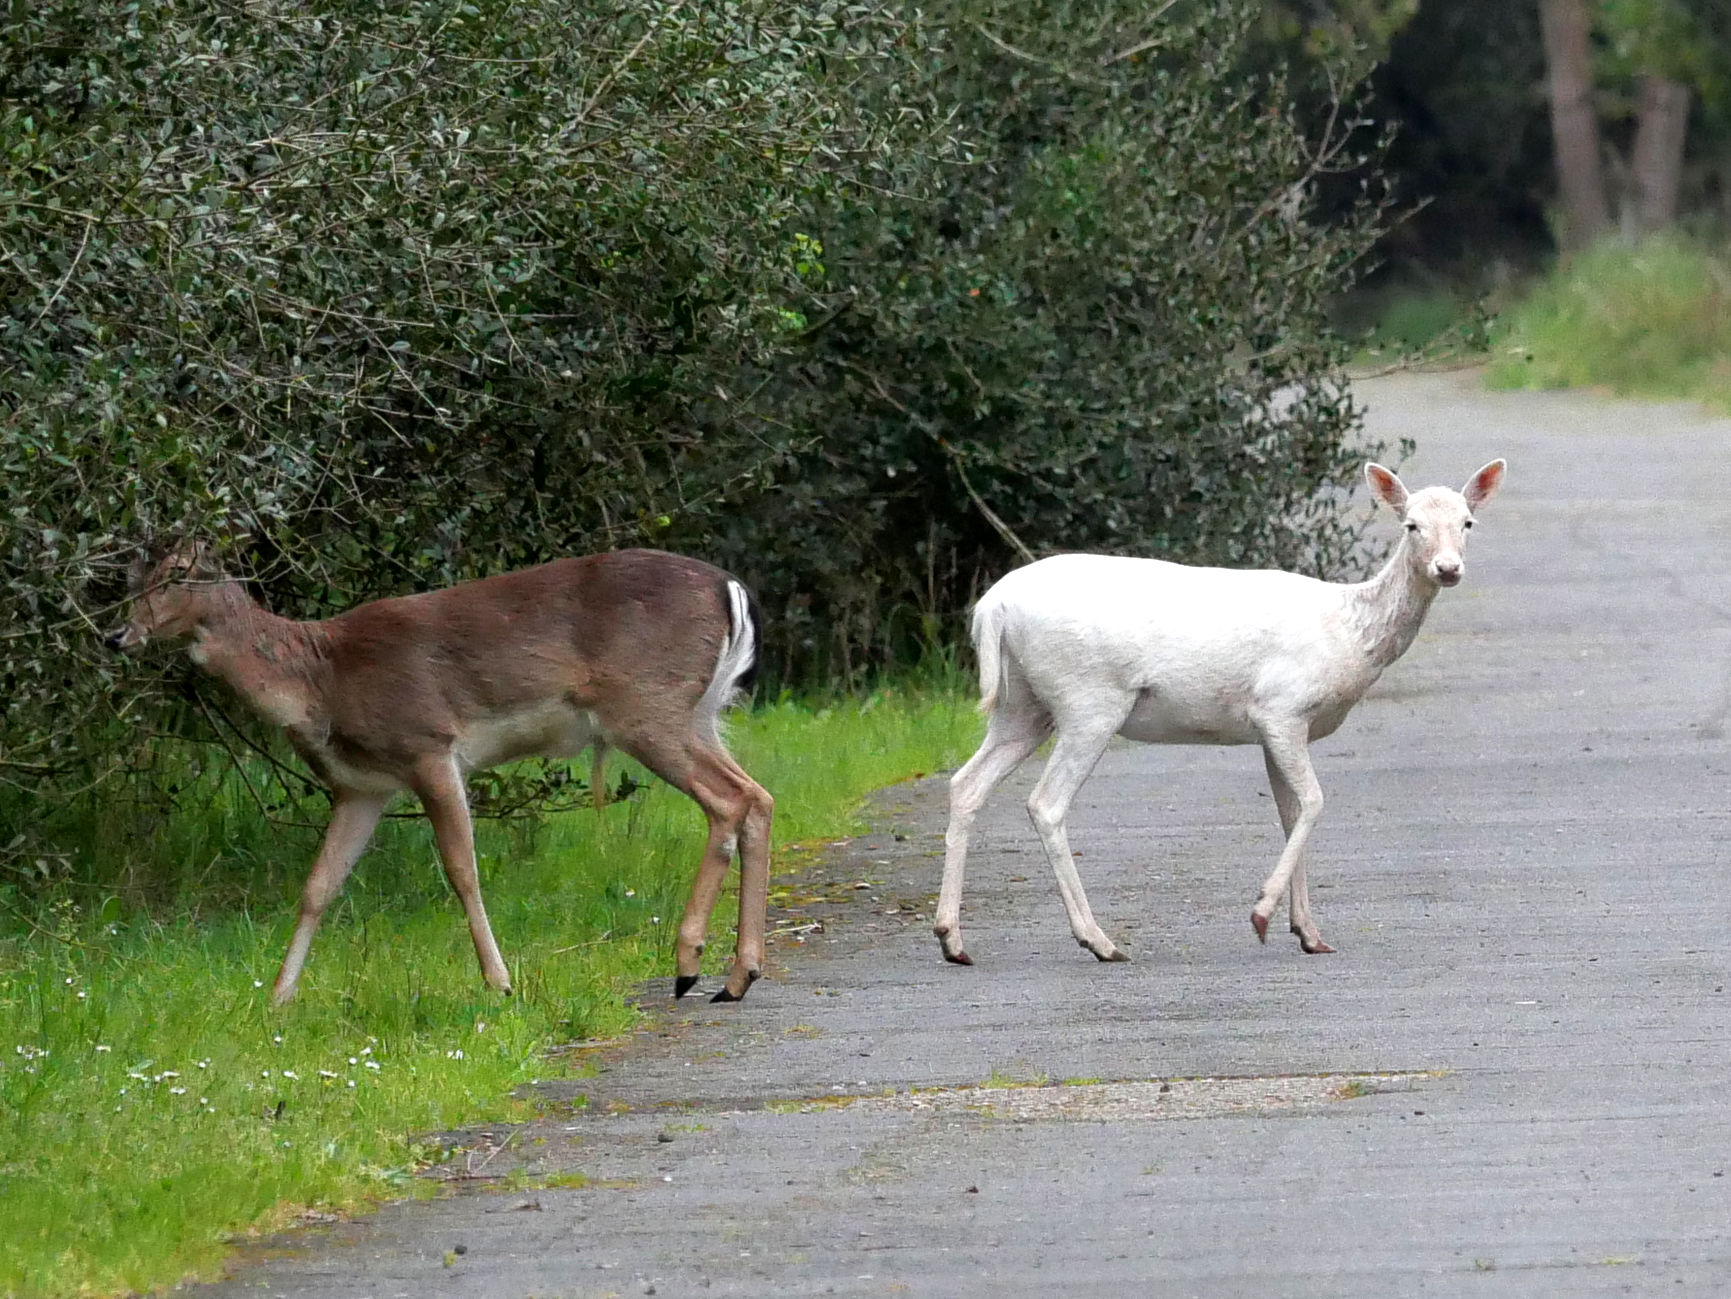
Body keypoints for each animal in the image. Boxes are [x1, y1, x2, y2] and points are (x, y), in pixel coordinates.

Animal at [106, 544, 775, 1004]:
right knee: (758, 798)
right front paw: (277, 997)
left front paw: (500, 983)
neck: (320, 681)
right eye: (133, 577)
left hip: (648, 707)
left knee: (729, 800)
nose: (116, 633)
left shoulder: (427, 744)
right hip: (699, 713)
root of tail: (733, 591)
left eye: (178, 575)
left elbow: (462, 870)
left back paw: (692, 965)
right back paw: (735, 975)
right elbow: (319, 885)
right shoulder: (361, 787)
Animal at [934, 459, 1506, 967]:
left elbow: (1290, 814)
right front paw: (1262, 915)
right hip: (1089, 697)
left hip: (1022, 704)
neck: (1349, 634)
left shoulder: (1276, 729)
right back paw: (1099, 941)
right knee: (1046, 803)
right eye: (1411, 524)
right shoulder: (1282, 707)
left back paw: (952, 939)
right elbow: (1315, 802)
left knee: (966, 783)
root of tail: (992, 608)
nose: (1448, 568)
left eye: (1467, 522)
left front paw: (1309, 933)